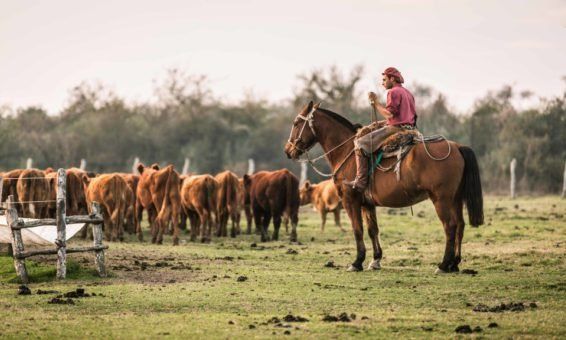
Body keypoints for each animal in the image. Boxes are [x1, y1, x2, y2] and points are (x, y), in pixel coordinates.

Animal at [284, 101, 484, 274]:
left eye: (296, 123)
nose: (288, 150)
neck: (347, 151)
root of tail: (457, 147)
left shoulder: (350, 200)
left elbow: (358, 230)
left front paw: (357, 262)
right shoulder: (367, 204)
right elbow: (372, 230)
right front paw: (375, 260)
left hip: (441, 199)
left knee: (450, 226)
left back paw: (443, 265)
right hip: (455, 199)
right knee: (460, 225)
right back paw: (454, 264)